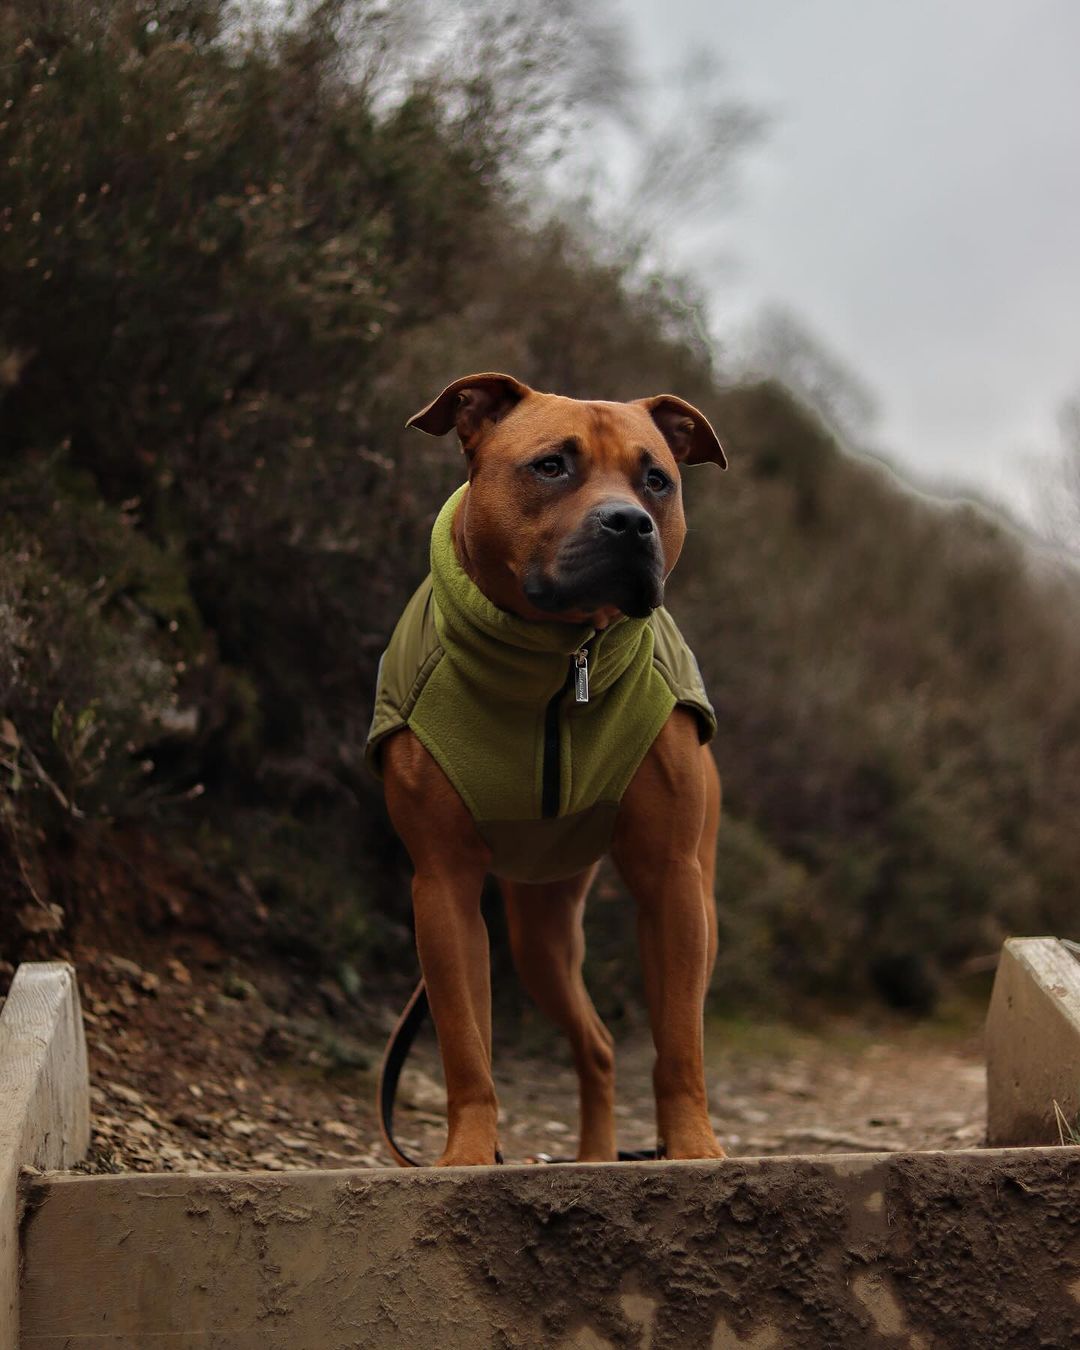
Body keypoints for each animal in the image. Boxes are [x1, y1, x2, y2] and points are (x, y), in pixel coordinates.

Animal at [372, 375, 723, 1166]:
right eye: (551, 467)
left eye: (657, 480)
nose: (628, 523)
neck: (563, 661)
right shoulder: (442, 887)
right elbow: (466, 1048)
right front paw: (468, 1156)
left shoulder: (672, 878)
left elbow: (679, 1043)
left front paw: (693, 1146)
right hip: (538, 935)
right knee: (594, 1045)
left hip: (672, 905)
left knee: (622, 1037)